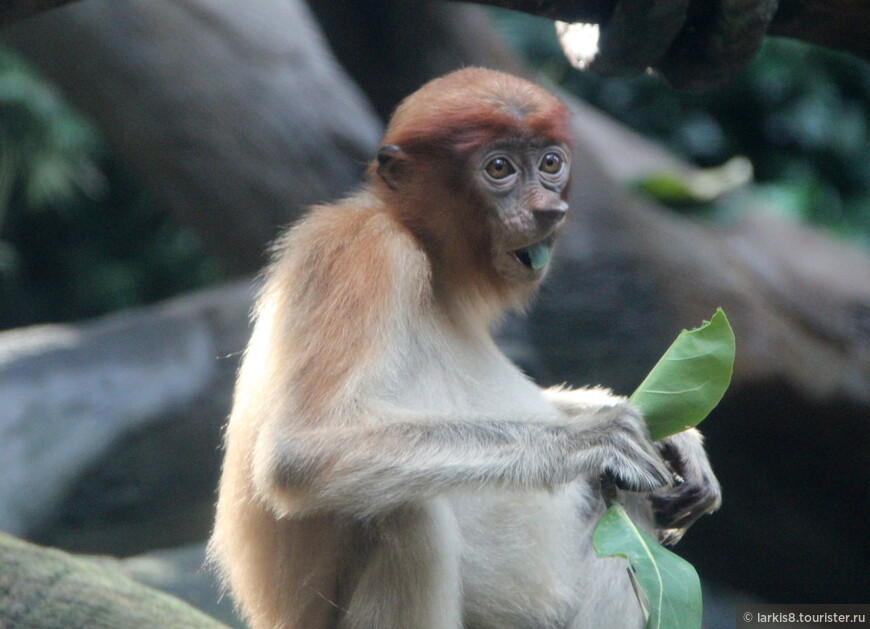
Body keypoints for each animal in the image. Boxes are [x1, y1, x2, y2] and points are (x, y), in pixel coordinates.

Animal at [206, 67, 724, 628]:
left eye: (550, 163)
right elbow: (299, 450)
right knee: (402, 509)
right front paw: (596, 436)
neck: (429, 264)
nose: (550, 210)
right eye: (499, 168)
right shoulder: (364, 251)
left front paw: (680, 443)